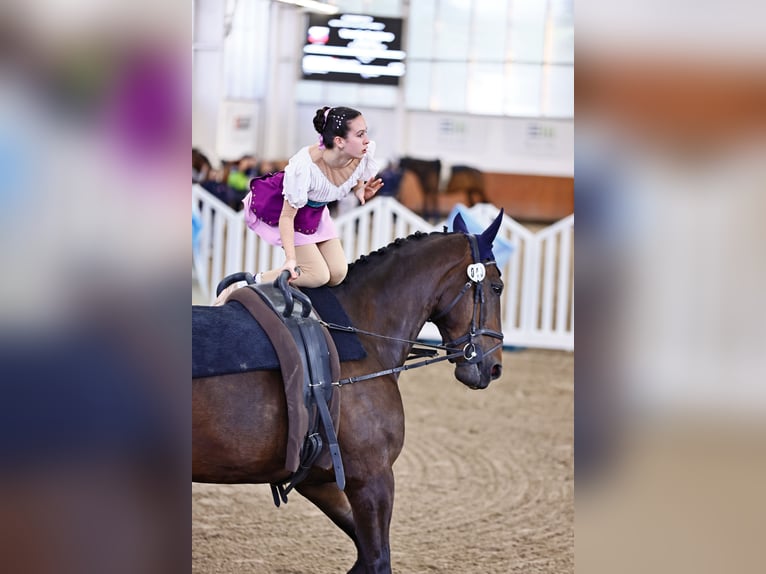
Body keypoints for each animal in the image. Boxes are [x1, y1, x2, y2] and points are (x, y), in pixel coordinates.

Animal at [192, 213, 508, 574]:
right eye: (497, 287)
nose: (494, 365)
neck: (361, 334)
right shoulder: (373, 479)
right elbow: (377, 559)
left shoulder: (319, 479)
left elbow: (362, 554)